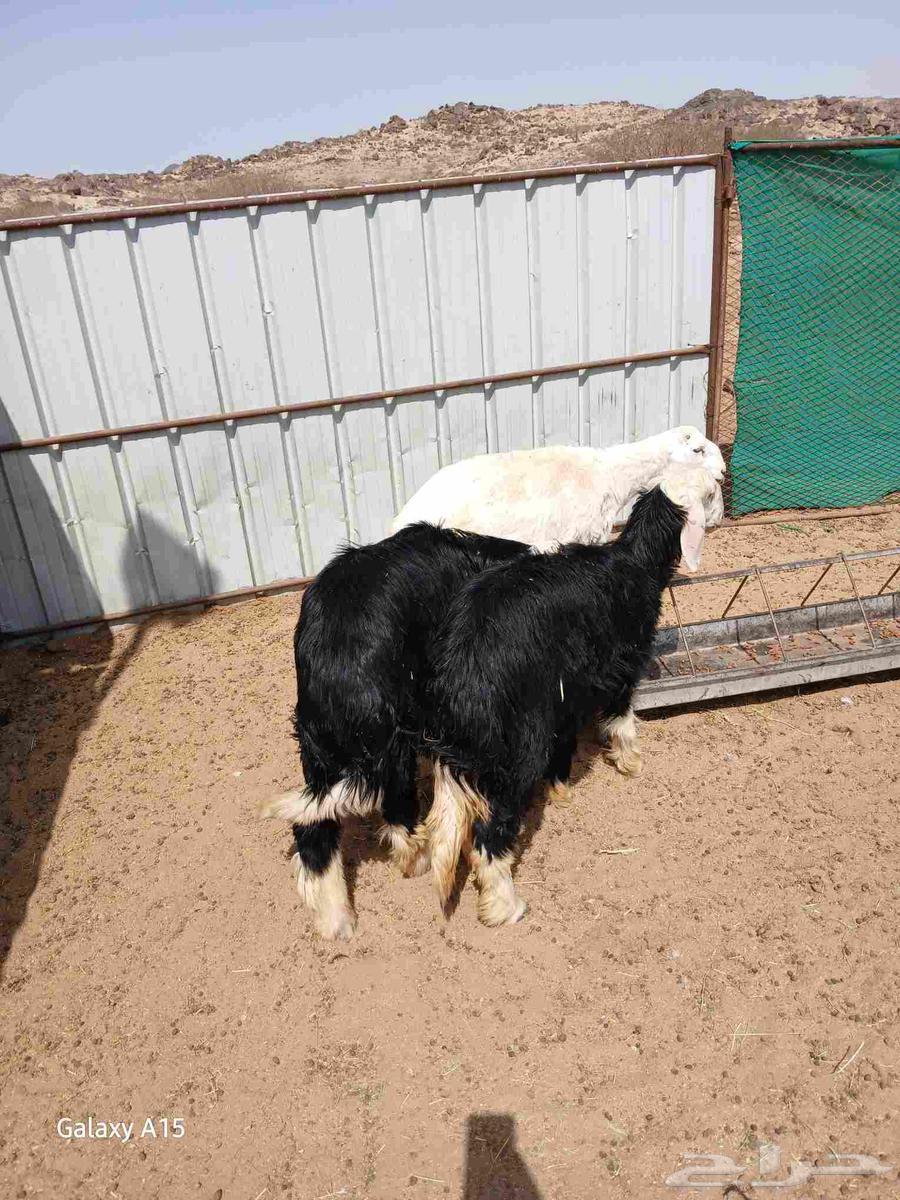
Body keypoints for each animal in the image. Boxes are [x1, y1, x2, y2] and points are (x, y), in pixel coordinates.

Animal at [263, 522, 529, 940]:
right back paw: (418, 859)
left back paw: (338, 923)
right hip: (392, 747)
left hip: (317, 750)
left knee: (313, 833)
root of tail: (342, 681)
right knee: (397, 812)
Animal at [420, 464, 720, 927]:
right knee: (491, 830)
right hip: (518, 742)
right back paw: (504, 906)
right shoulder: (621, 665)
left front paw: (562, 789)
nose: (722, 512)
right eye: (710, 492)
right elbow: (622, 717)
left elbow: (566, 739)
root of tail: (463, 672)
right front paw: (630, 762)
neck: (634, 563)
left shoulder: (565, 689)